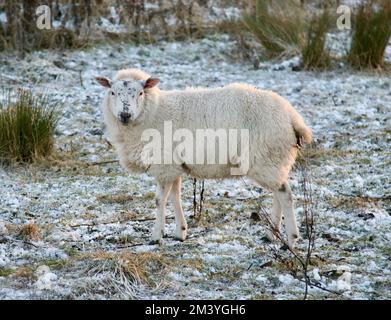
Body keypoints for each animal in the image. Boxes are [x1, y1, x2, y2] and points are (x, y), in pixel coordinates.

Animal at [96, 69, 314, 249]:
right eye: (112, 92)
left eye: (140, 93)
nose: (125, 114)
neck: (154, 112)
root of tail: (293, 117)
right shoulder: (173, 167)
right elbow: (175, 197)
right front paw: (180, 232)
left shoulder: (164, 166)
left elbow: (160, 200)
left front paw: (156, 237)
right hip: (274, 160)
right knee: (278, 193)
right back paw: (271, 235)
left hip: (266, 159)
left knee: (285, 194)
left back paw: (291, 240)